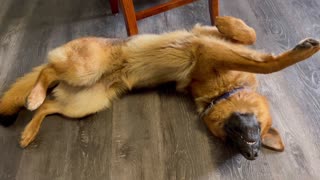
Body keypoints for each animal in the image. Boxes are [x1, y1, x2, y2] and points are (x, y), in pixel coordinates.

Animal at [0, 16, 318, 160]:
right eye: (257, 135)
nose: (252, 155)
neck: (225, 90)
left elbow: (259, 54)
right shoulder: (212, 46)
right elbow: (254, 45)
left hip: (85, 103)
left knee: (50, 104)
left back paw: (30, 128)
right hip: (84, 69)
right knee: (47, 71)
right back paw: (33, 95)